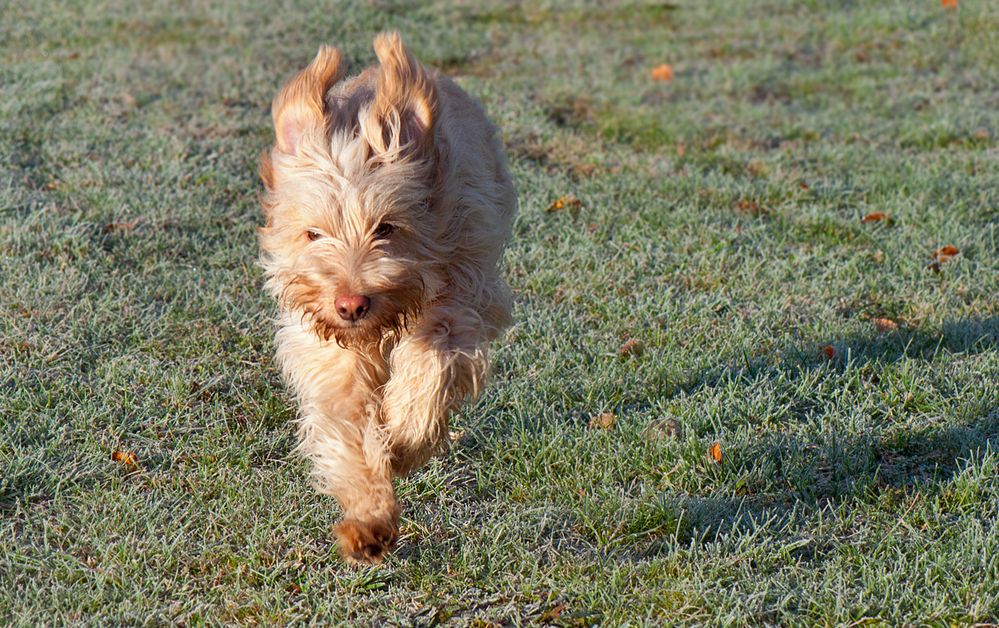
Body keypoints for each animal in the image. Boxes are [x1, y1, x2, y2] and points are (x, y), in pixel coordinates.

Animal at [254, 33, 520, 564]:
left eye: (387, 228)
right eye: (313, 234)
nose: (351, 305)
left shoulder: (461, 296)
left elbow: (431, 366)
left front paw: (406, 441)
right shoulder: (329, 352)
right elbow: (349, 428)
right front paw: (369, 520)